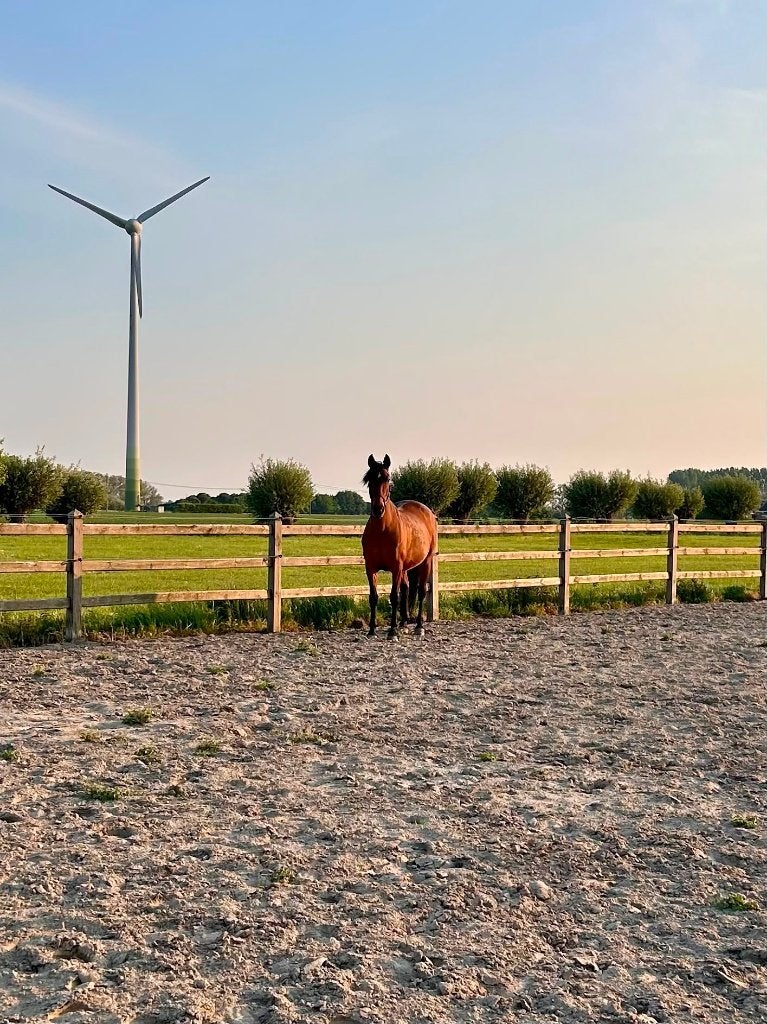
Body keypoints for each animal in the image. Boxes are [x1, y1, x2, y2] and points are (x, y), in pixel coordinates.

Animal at [361, 454, 438, 638]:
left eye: (388, 479)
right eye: (369, 480)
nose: (378, 509)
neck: (382, 531)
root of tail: (427, 512)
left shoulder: (396, 568)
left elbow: (394, 597)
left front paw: (392, 631)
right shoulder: (371, 567)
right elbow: (373, 597)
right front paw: (372, 630)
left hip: (425, 562)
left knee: (420, 591)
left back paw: (418, 626)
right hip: (406, 569)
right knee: (406, 589)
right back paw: (403, 623)